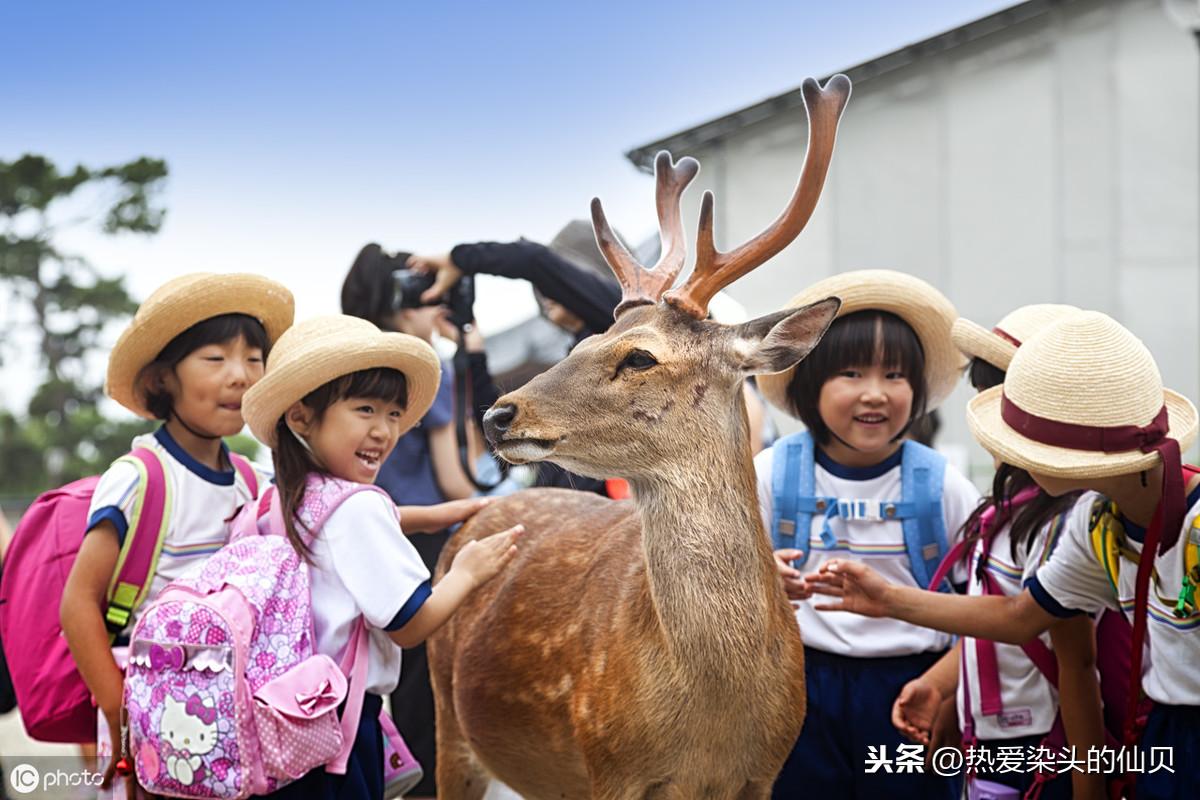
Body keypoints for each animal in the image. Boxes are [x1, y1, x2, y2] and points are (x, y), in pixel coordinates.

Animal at [429, 76, 854, 800]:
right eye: (583, 342)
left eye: (639, 356)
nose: (496, 415)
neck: (714, 723)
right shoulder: (609, 766)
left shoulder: (766, 772)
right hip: (446, 720)